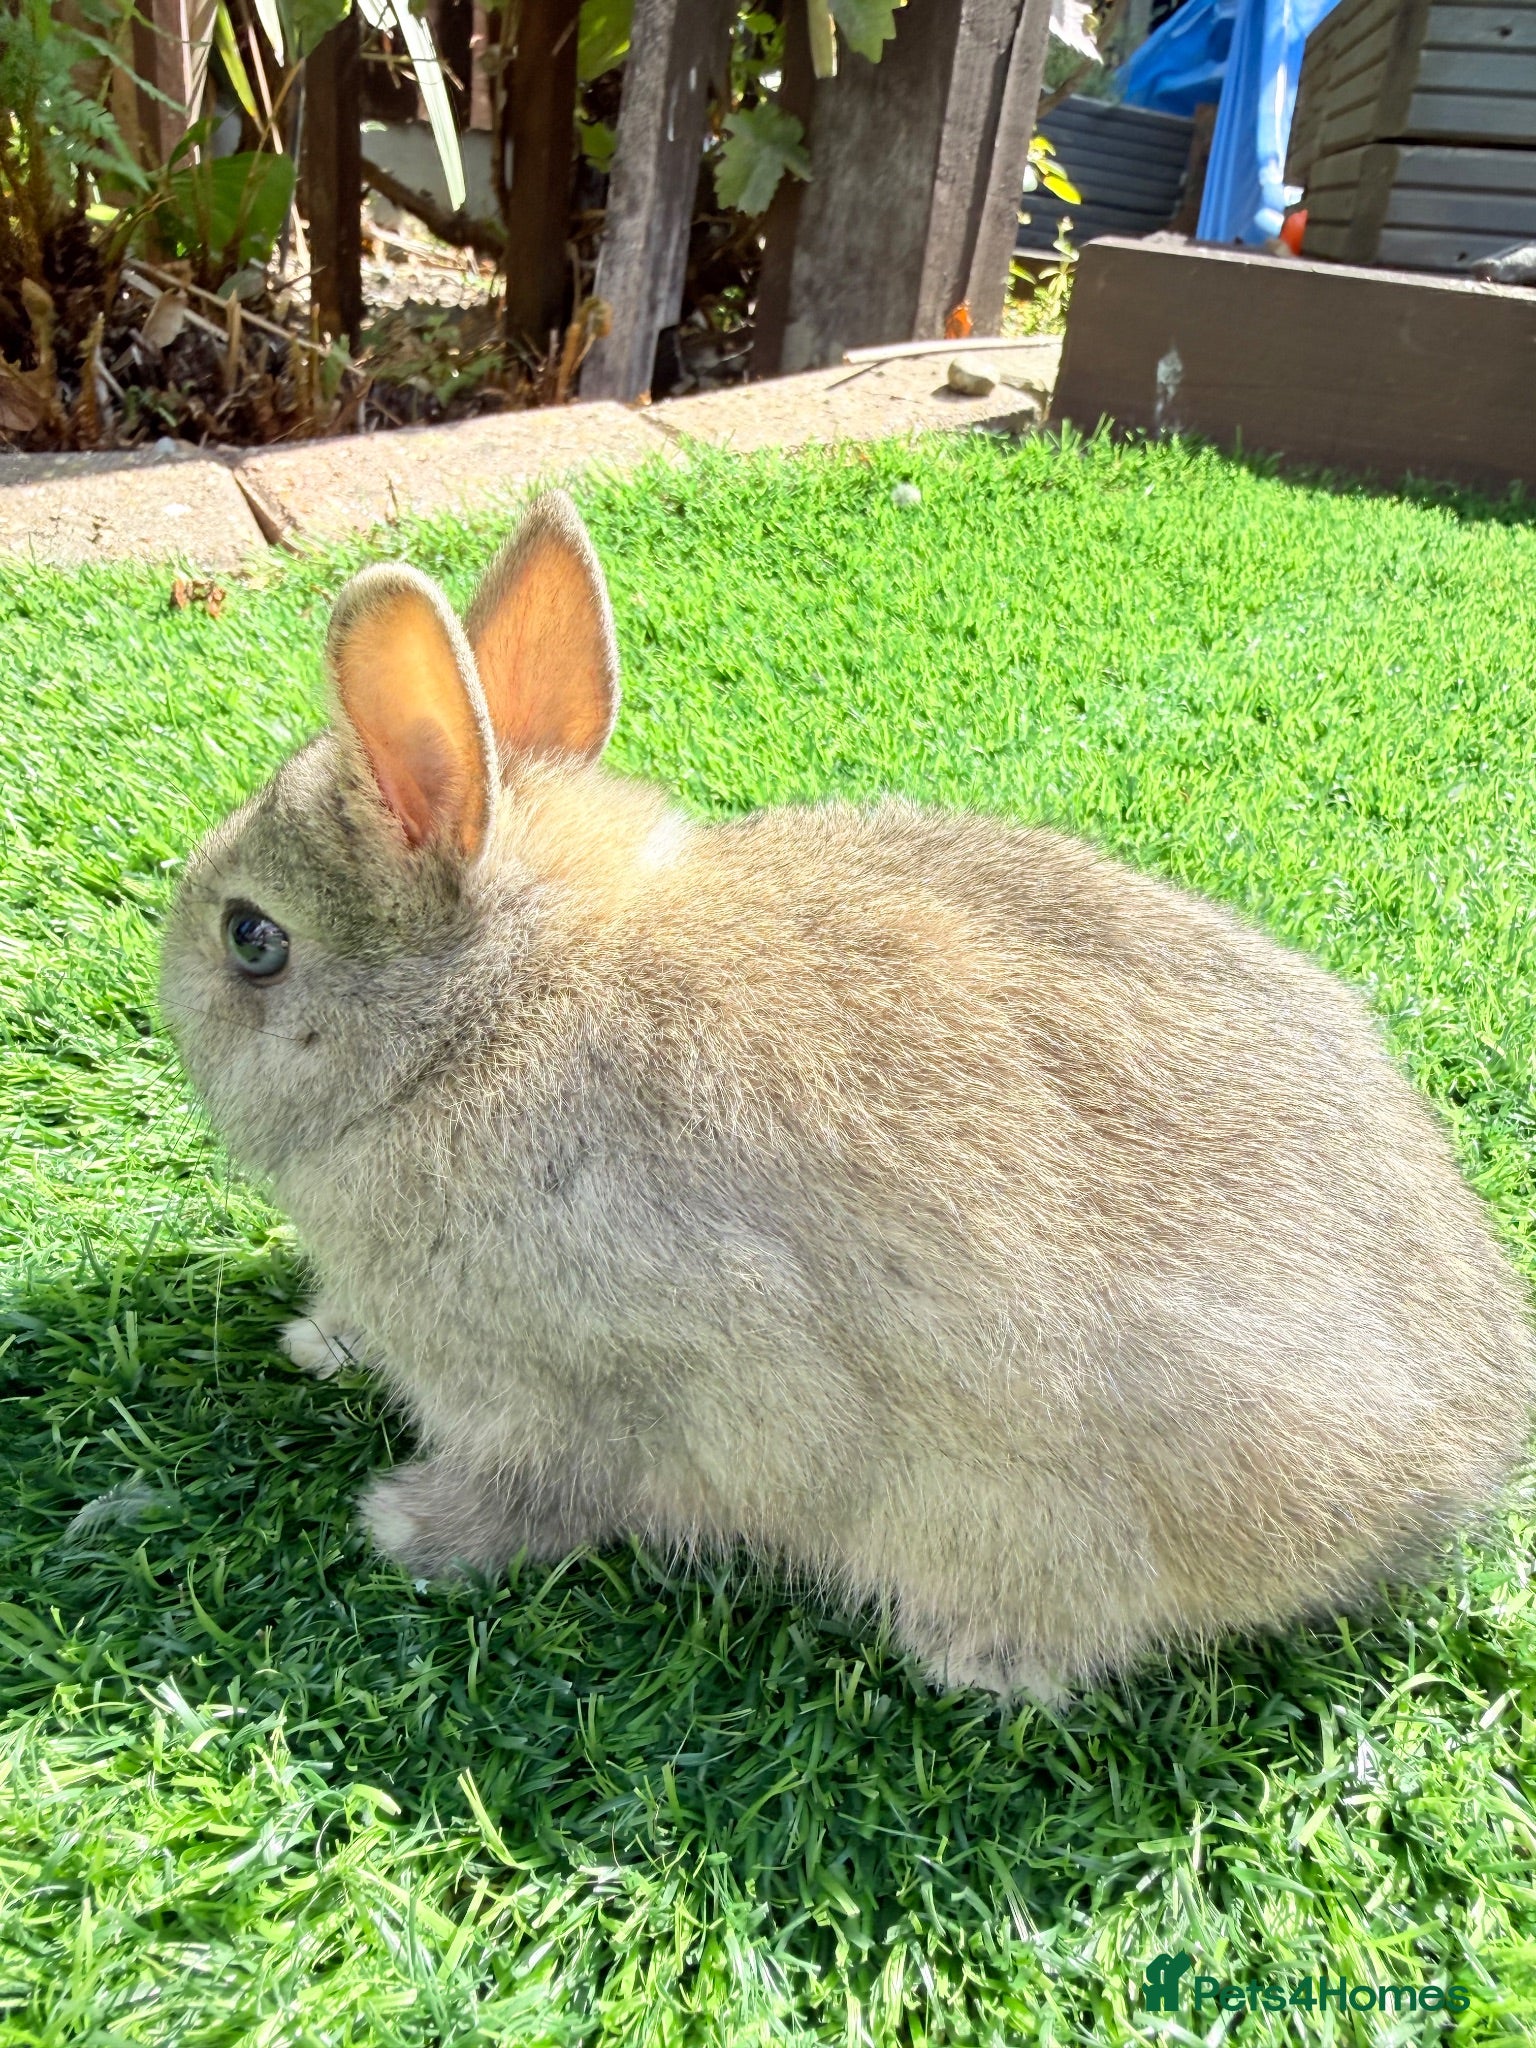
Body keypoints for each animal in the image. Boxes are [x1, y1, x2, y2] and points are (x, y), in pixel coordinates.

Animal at [159, 489, 1536, 1699]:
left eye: (252, 939)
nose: (165, 976)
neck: (485, 1013)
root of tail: (1464, 1456)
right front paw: (320, 1340)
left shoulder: (582, 1384)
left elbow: (541, 1492)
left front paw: (401, 1524)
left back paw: (973, 1654)